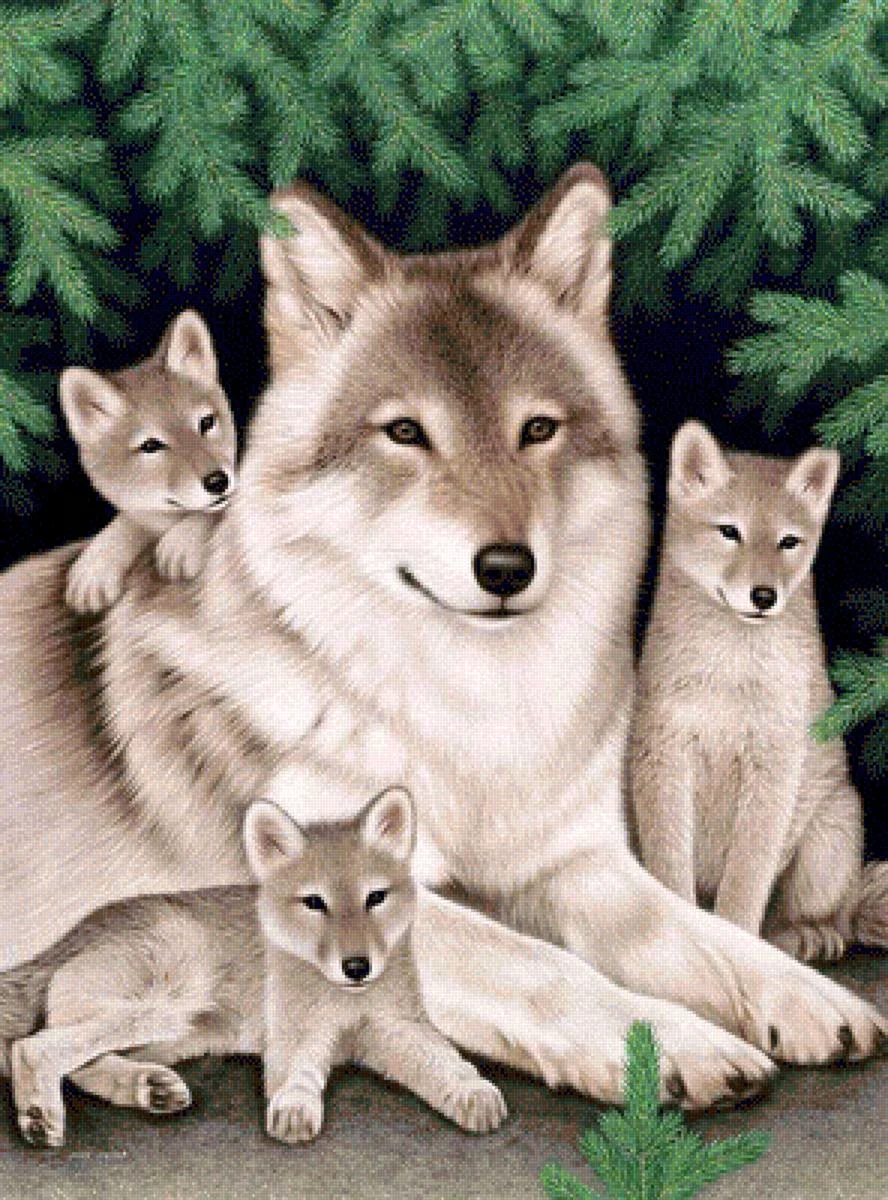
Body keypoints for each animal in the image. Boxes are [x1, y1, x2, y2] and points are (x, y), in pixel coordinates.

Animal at [3, 785, 506, 1148]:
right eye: (315, 903)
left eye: (375, 898)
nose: (357, 967)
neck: (342, 999)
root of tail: (75, 933)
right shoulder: (295, 1034)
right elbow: (298, 1073)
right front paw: (295, 1107)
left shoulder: (397, 1027)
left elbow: (446, 1062)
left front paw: (472, 1092)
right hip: (170, 1008)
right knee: (34, 1047)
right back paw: (40, 1116)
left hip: (180, 1033)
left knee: (76, 1062)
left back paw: (147, 1087)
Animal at [59, 309, 237, 613]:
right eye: (151, 446)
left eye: (206, 423)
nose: (218, 481)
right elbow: (128, 522)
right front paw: (95, 567)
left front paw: (183, 540)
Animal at [630, 421, 888, 963]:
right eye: (730, 531)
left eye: (789, 541)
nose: (763, 596)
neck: (730, 679)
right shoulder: (664, 756)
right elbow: (670, 869)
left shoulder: (772, 765)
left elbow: (745, 884)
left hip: (827, 843)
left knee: (807, 918)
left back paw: (808, 938)